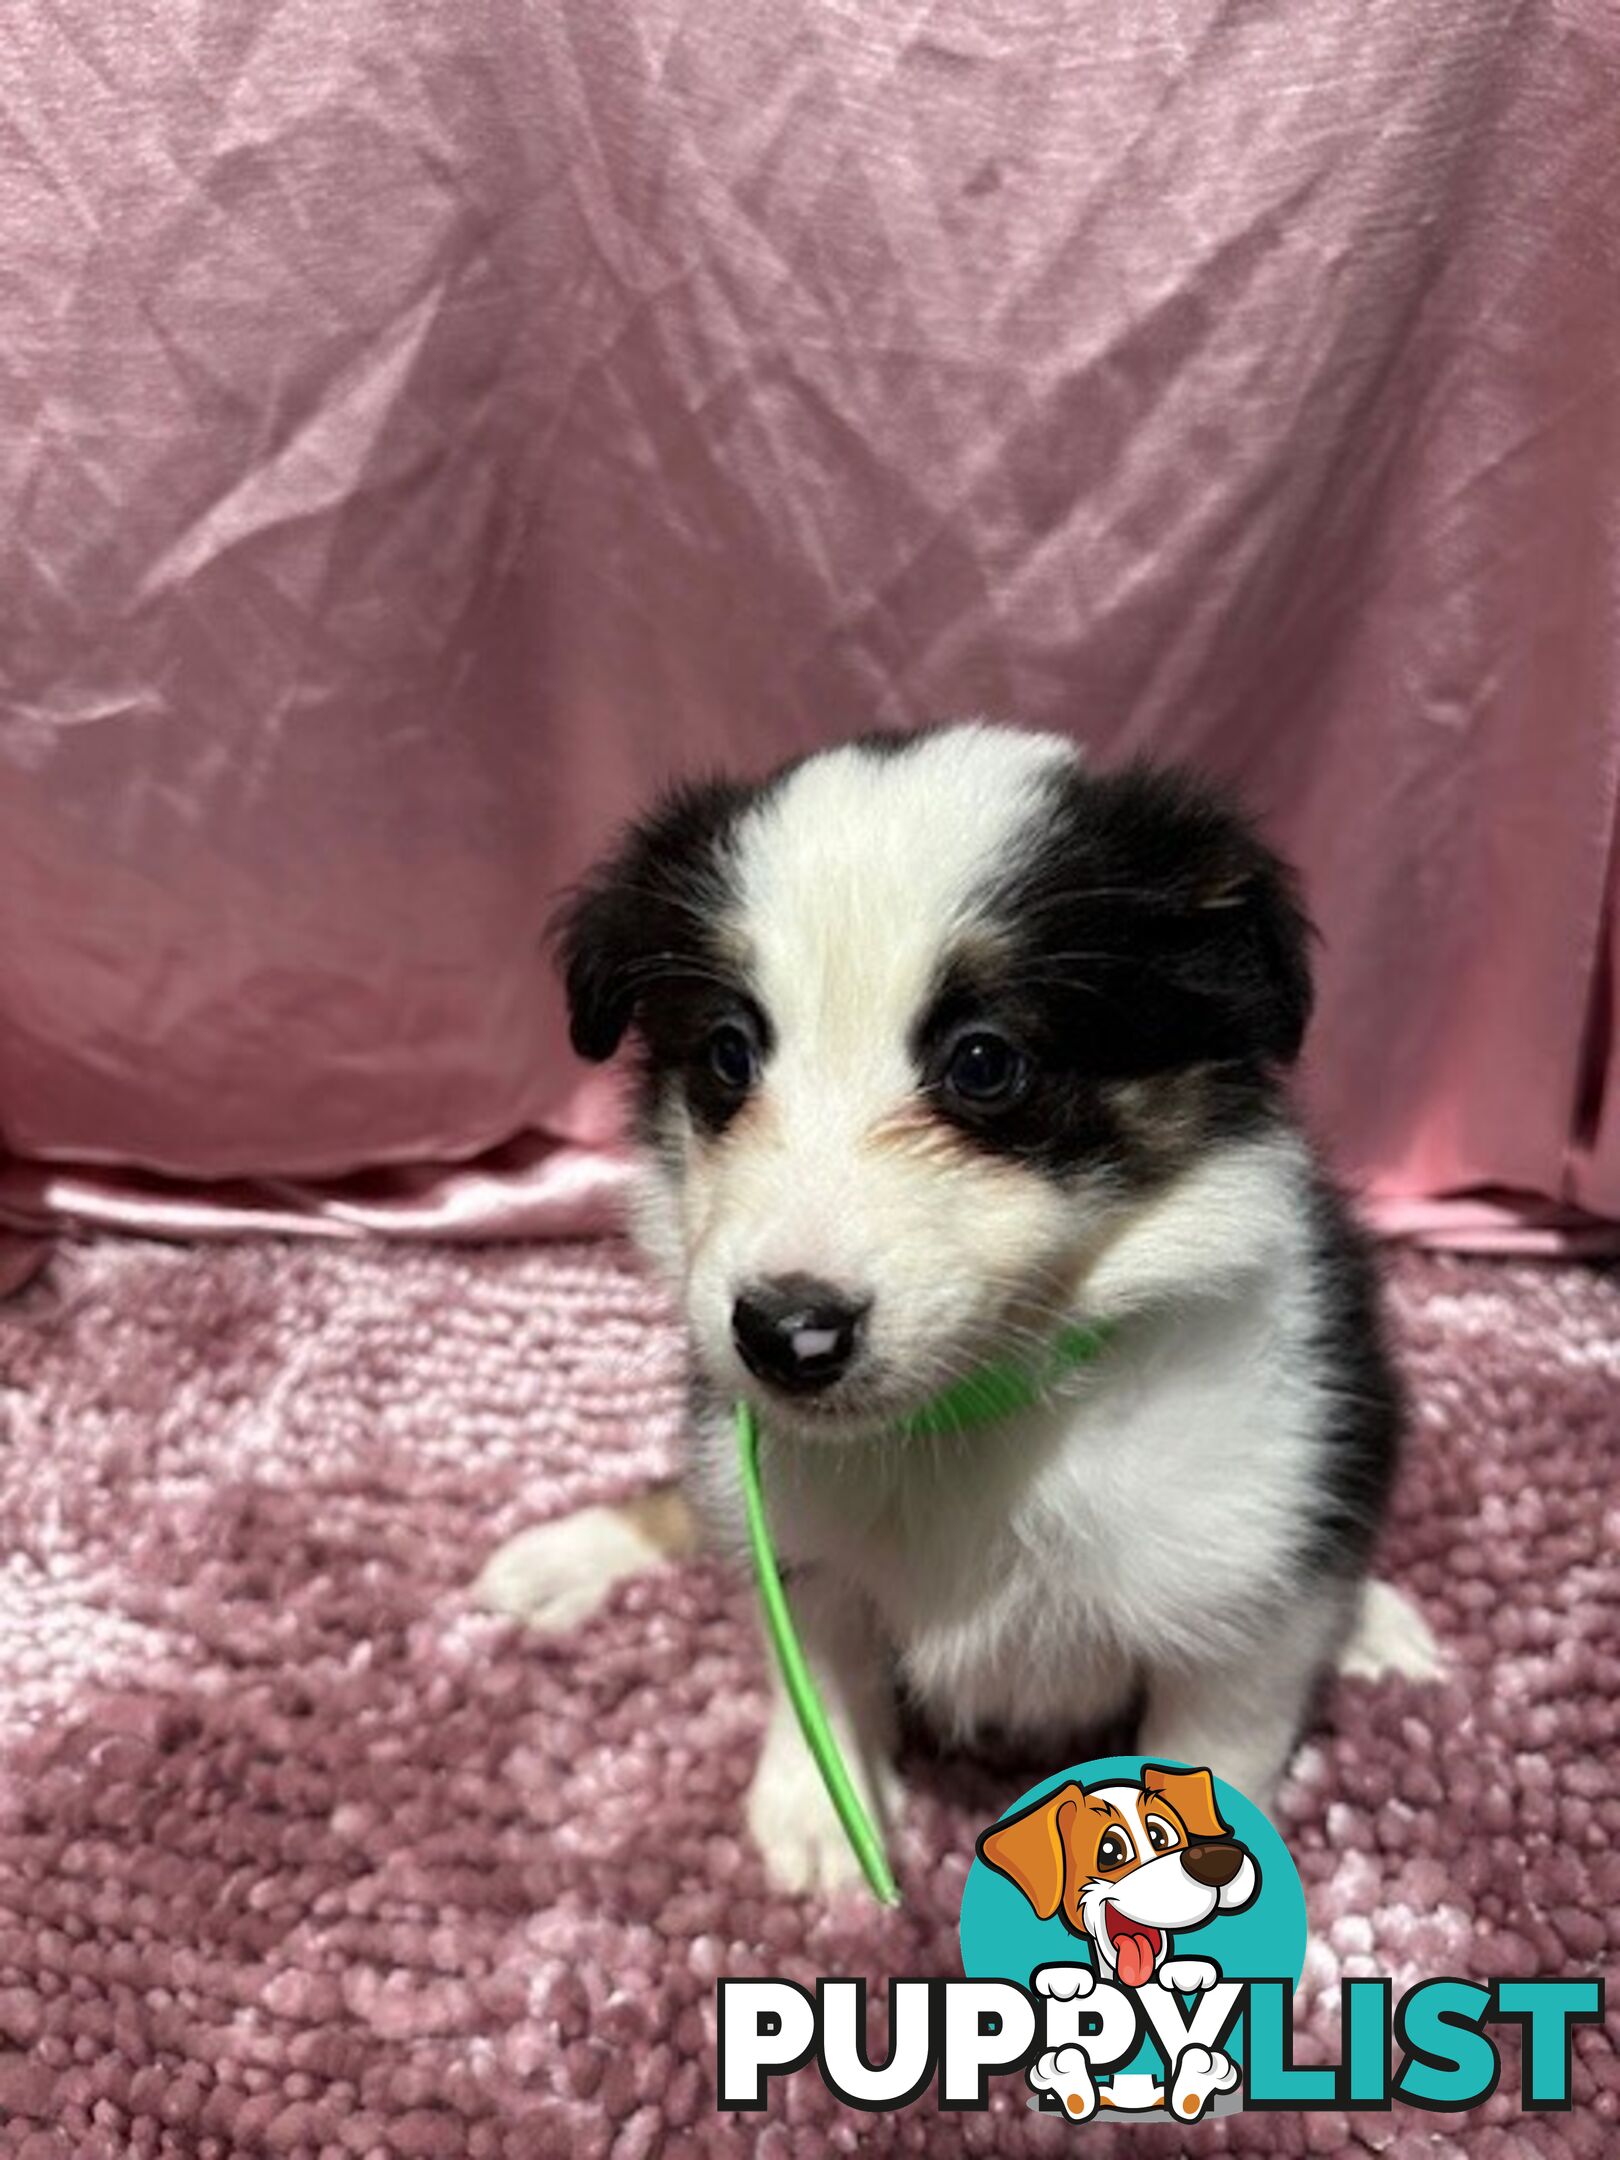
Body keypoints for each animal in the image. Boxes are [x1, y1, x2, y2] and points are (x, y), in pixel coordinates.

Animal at [475, 725, 1442, 1892]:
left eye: (984, 1062)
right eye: (727, 1053)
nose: (787, 1335)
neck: (976, 1409)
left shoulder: (1241, 1603)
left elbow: (1224, 1752)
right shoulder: (792, 1530)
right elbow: (818, 1668)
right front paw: (819, 1808)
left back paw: (1375, 1621)